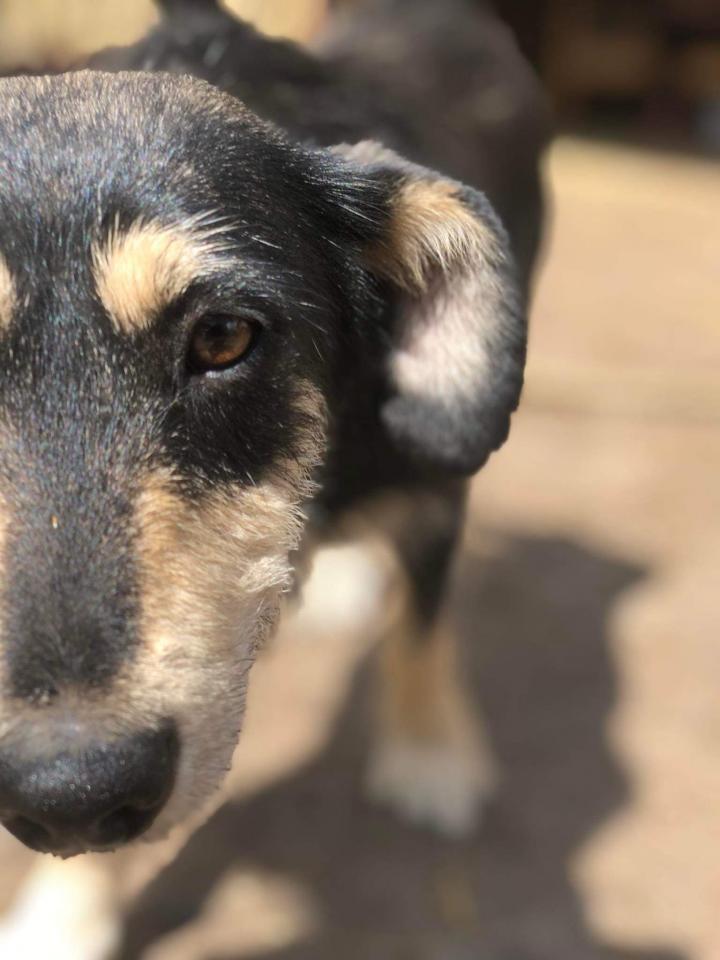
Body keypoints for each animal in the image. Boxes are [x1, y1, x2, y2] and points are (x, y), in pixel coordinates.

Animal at [0, 0, 548, 954]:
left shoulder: (434, 494)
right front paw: (63, 917)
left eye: (224, 337)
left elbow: (424, 629)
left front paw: (432, 754)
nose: (68, 792)